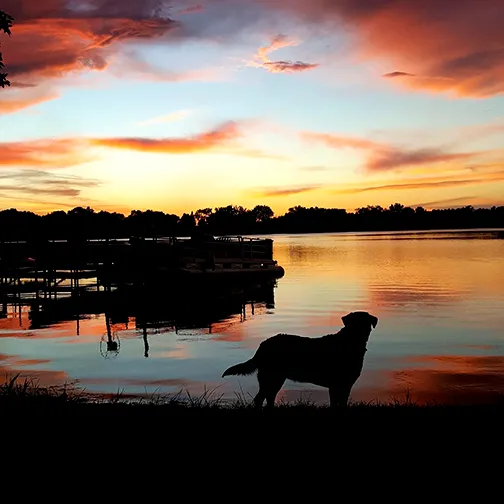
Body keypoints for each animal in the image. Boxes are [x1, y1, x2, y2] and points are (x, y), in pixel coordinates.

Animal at [222, 312, 376, 410]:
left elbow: (342, 403)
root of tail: (263, 345)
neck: (349, 343)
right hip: (272, 377)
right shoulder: (335, 385)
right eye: (354, 323)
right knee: (261, 398)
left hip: (274, 378)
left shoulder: (346, 384)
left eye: (365, 324)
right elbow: (335, 404)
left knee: (268, 397)